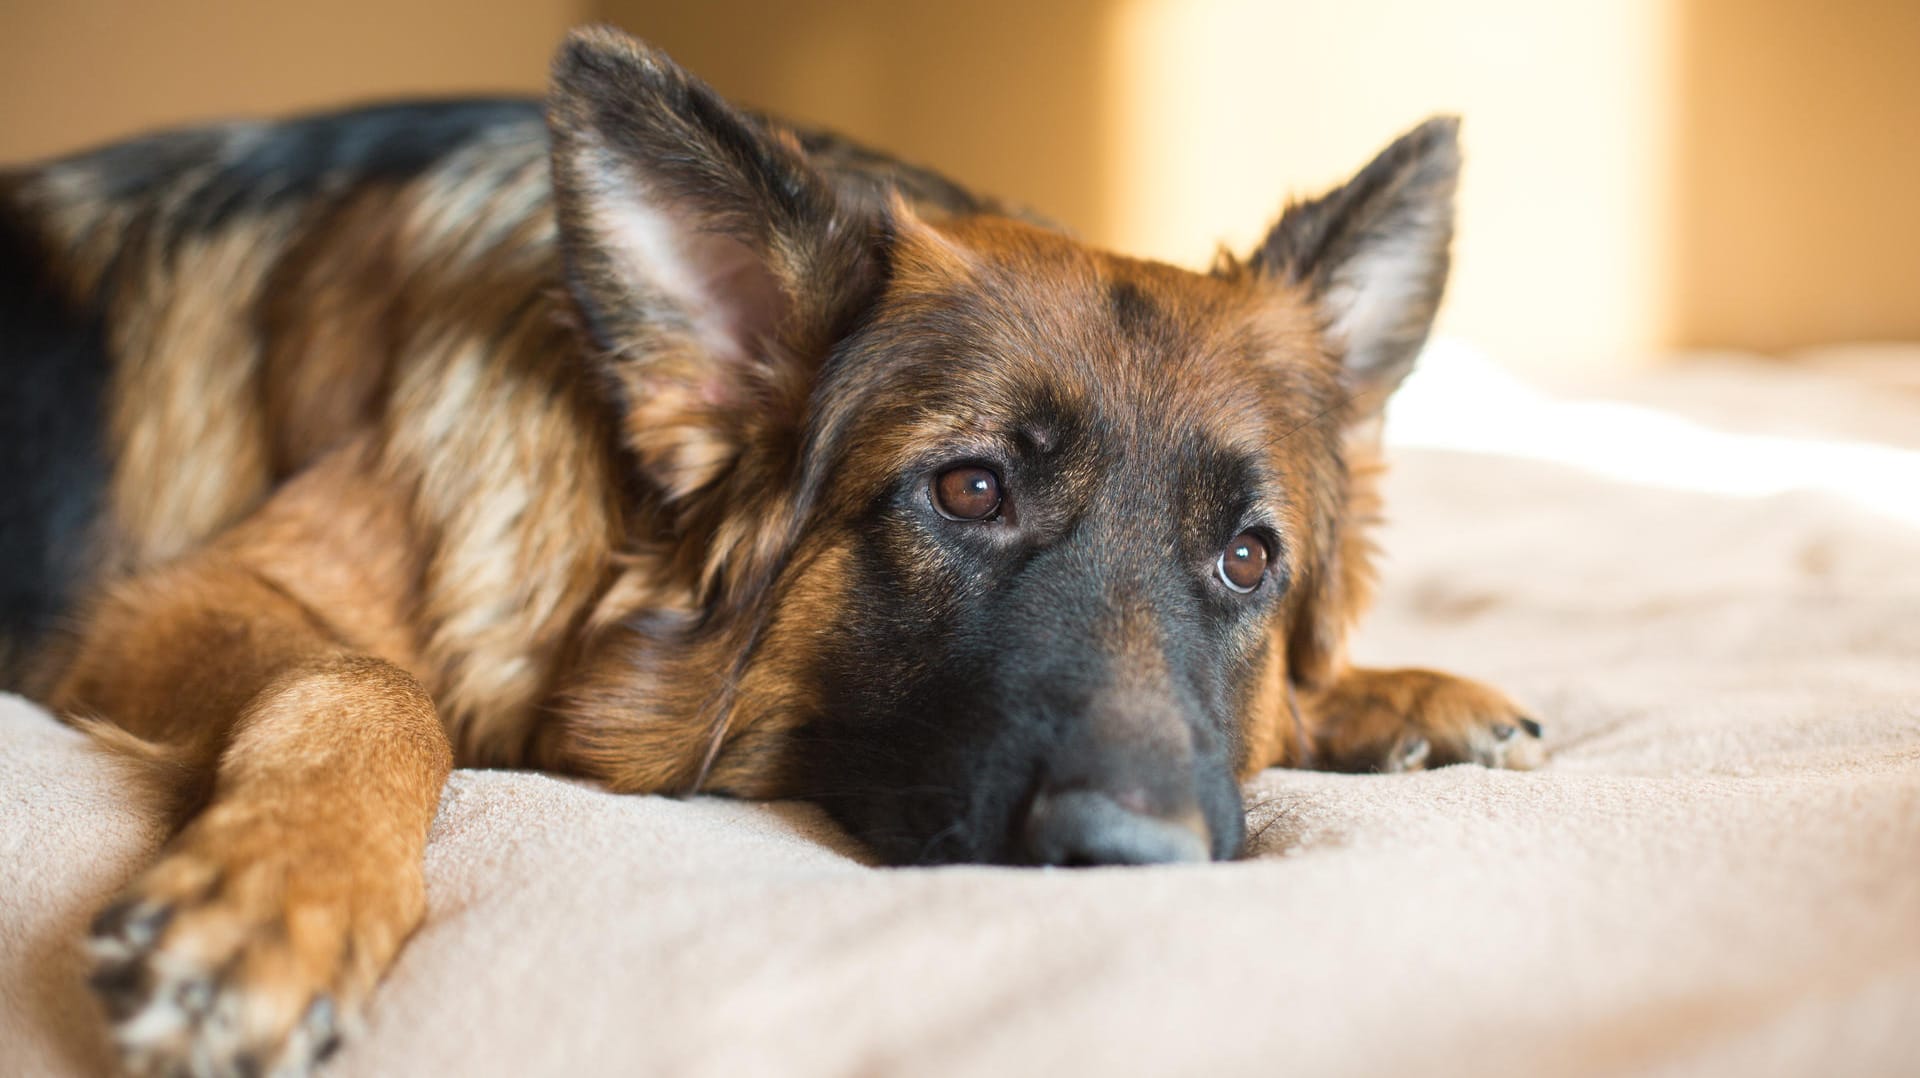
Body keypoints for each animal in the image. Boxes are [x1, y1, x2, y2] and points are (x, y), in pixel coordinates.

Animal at [0, 25, 1536, 1076]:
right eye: (970, 490)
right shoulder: (175, 602)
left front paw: (1393, 692)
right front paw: (284, 890)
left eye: (1247, 560)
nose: (1134, 864)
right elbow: (368, 682)